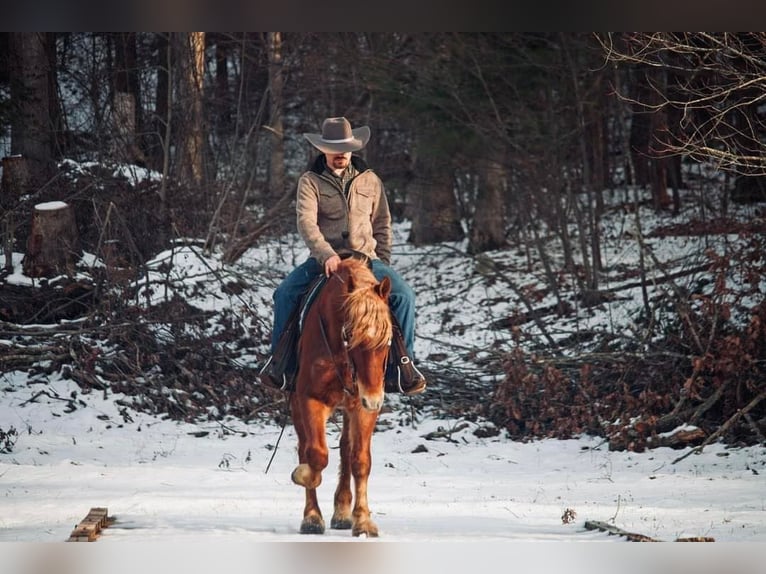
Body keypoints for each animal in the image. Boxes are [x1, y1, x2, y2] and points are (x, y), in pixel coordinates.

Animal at [290, 258, 392, 536]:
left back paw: (343, 512)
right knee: (304, 447)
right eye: (350, 336)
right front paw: (303, 481)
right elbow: (316, 454)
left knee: (346, 448)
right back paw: (312, 516)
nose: (374, 398)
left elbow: (360, 460)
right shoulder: (310, 399)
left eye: (388, 340)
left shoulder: (362, 407)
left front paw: (363, 520)